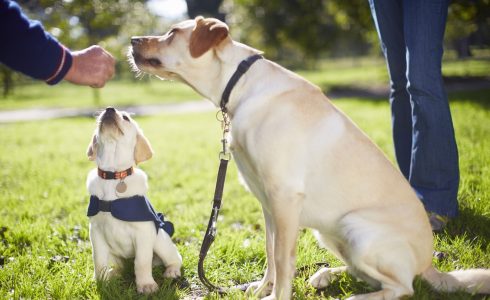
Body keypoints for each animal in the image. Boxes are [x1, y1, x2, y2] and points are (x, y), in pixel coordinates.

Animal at [85, 106, 183, 294]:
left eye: (126, 118)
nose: (109, 110)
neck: (113, 176)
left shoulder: (143, 233)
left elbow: (142, 262)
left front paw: (146, 285)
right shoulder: (95, 231)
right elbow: (98, 260)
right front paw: (100, 281)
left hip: (160, 240)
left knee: (175, 258)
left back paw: (172, 271)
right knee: (119, 266)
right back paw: (114, 273)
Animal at [127, 18, 490, 300]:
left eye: (173, 32)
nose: (131, 40)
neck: (241, 84)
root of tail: (429, 262)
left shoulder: (284, 197)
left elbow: (283, 259)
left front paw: (276, 295)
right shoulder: (267, 202)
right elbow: (270, 251)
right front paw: (262, 288)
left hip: (357, 229)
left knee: (402, 288)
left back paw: (355, 295)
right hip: (329, 232)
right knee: (371, 276)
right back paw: (325, 275)